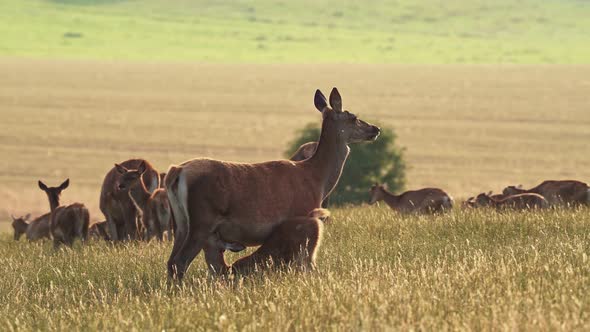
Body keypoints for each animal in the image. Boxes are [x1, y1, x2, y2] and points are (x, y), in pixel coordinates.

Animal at [164, 87, 382, 280]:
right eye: (353, 117)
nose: (375, 129)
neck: (316, 179)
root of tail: (177, 171)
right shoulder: (300, 214)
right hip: (202, 221)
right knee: (180, 262)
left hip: (181, 224)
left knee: (171, 261)